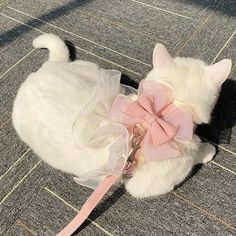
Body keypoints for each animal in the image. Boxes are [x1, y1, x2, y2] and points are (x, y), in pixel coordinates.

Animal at [12, 34, 231, 198]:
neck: (161, 115)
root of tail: (44, 70)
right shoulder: (145, 185)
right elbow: (193, 158)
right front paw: (206, 150)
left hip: (92, 69)